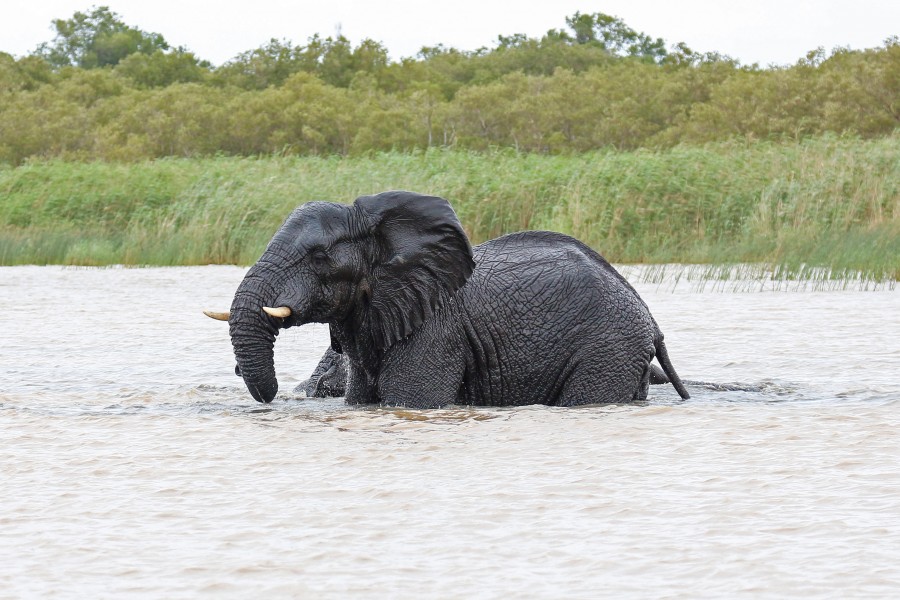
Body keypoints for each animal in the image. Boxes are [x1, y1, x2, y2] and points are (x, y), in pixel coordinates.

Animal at [205, 190, 690, 408]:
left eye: (319, 256)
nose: (266, 395)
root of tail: (650, 319)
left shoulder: (435, 333)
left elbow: (410, 401)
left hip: (608, 347)